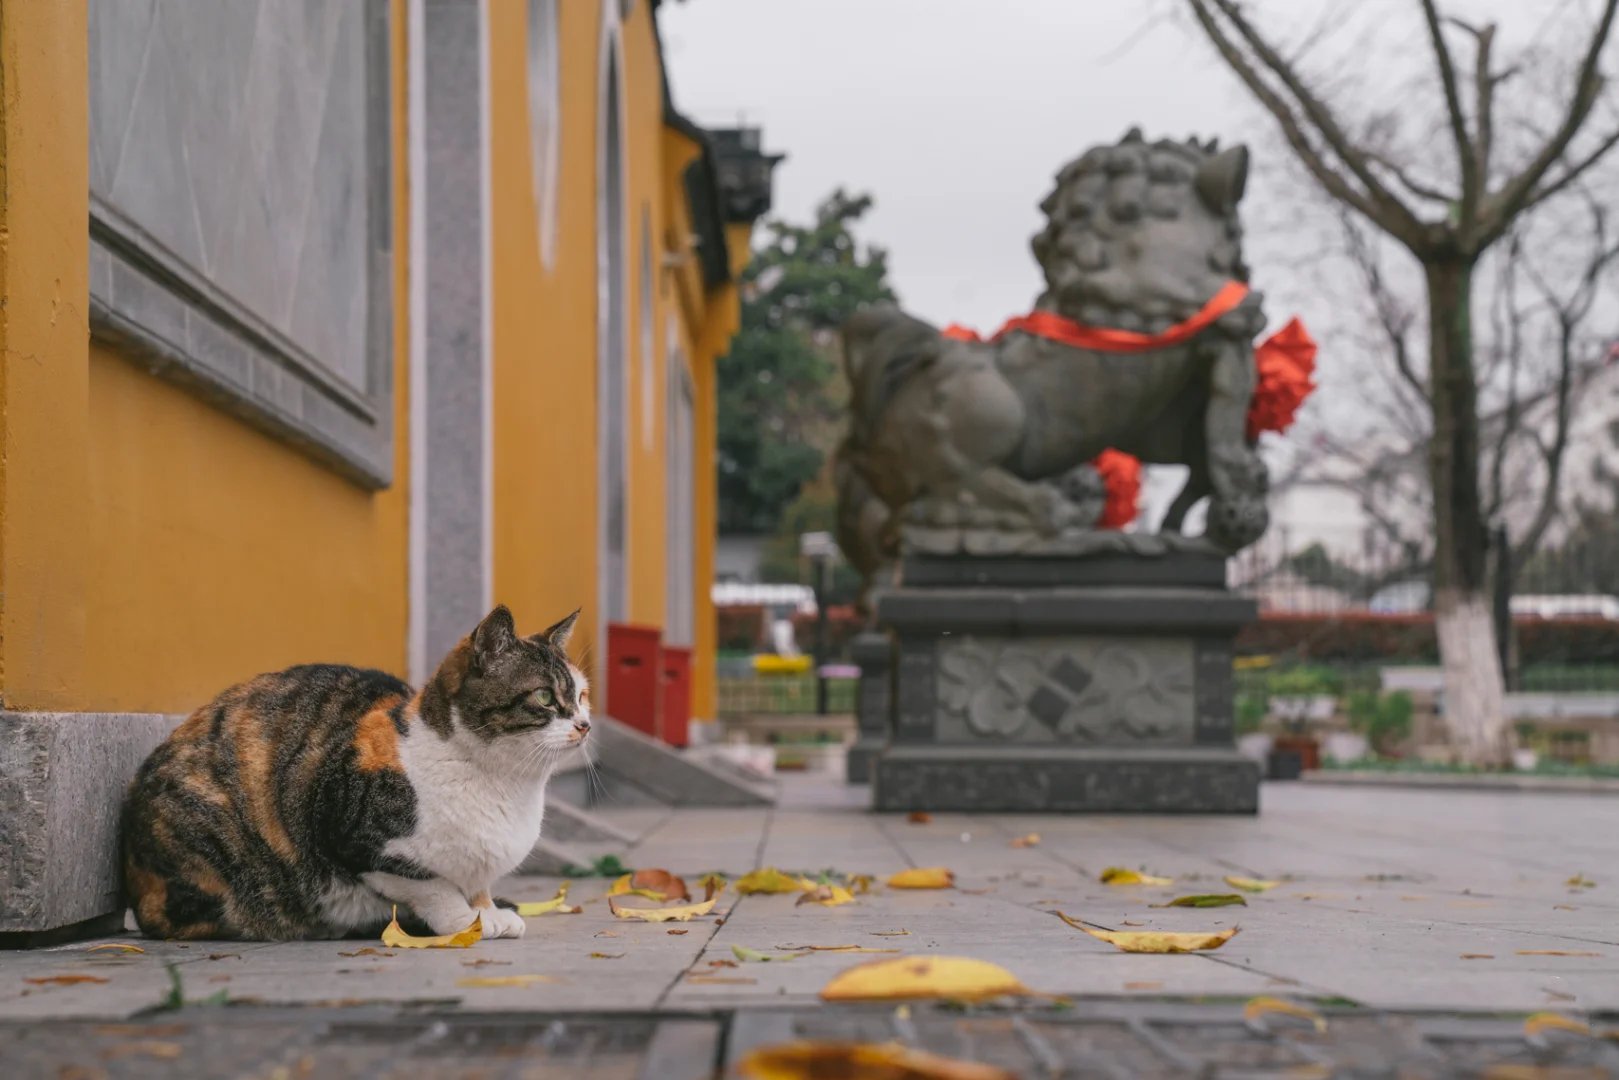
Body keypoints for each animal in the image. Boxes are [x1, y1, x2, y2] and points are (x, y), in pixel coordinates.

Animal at [121, 605, 589, 939]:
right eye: (545, 696)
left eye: (582, 695)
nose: (585, 724)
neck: (505, 784)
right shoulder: (360, 841)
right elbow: (432, 885)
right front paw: (466, 922)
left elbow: (477, 882)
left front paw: (489, 910)